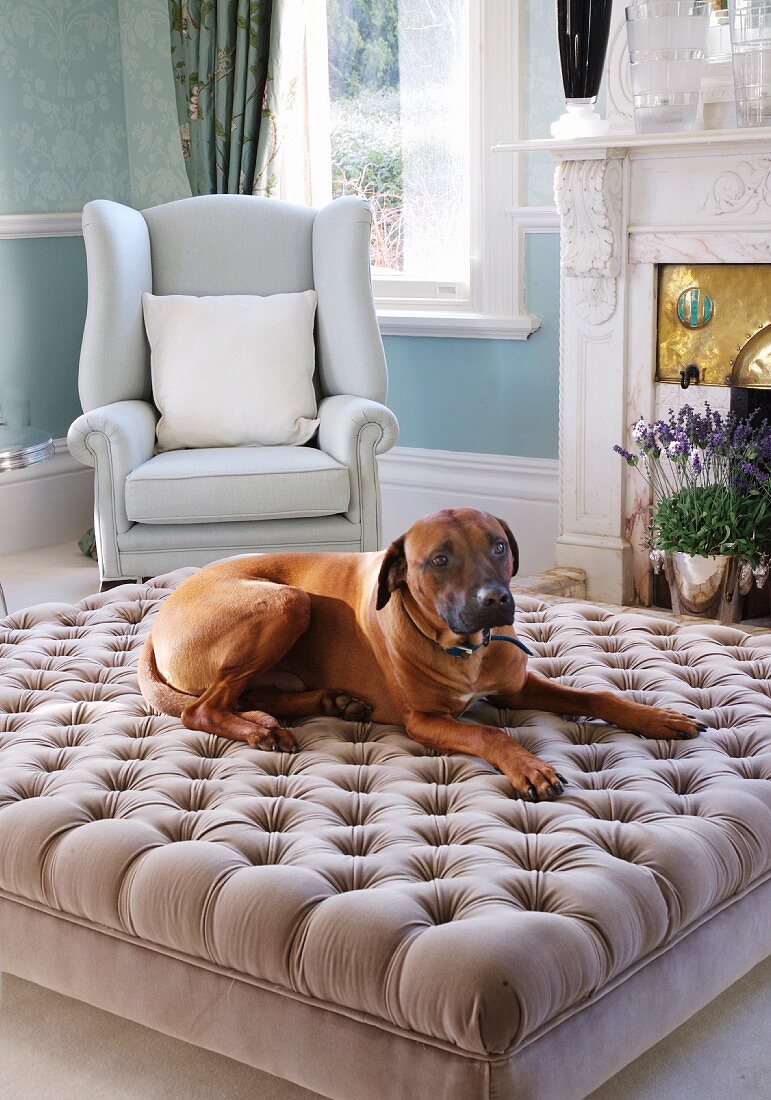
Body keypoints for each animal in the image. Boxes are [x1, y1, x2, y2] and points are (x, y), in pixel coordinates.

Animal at [138, 506, 703, 800]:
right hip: (287, 602)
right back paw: (260, 729)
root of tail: (159, 615)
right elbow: (488, 732)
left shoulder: (518, 688)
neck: (465, 649)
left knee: (245, 696)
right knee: (201, 708)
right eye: (439, 560)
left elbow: (597, 696)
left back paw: (330, 703)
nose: (496, 600)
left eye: (498, 545)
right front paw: (528, 765)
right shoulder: (425, 721)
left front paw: (657, 718)